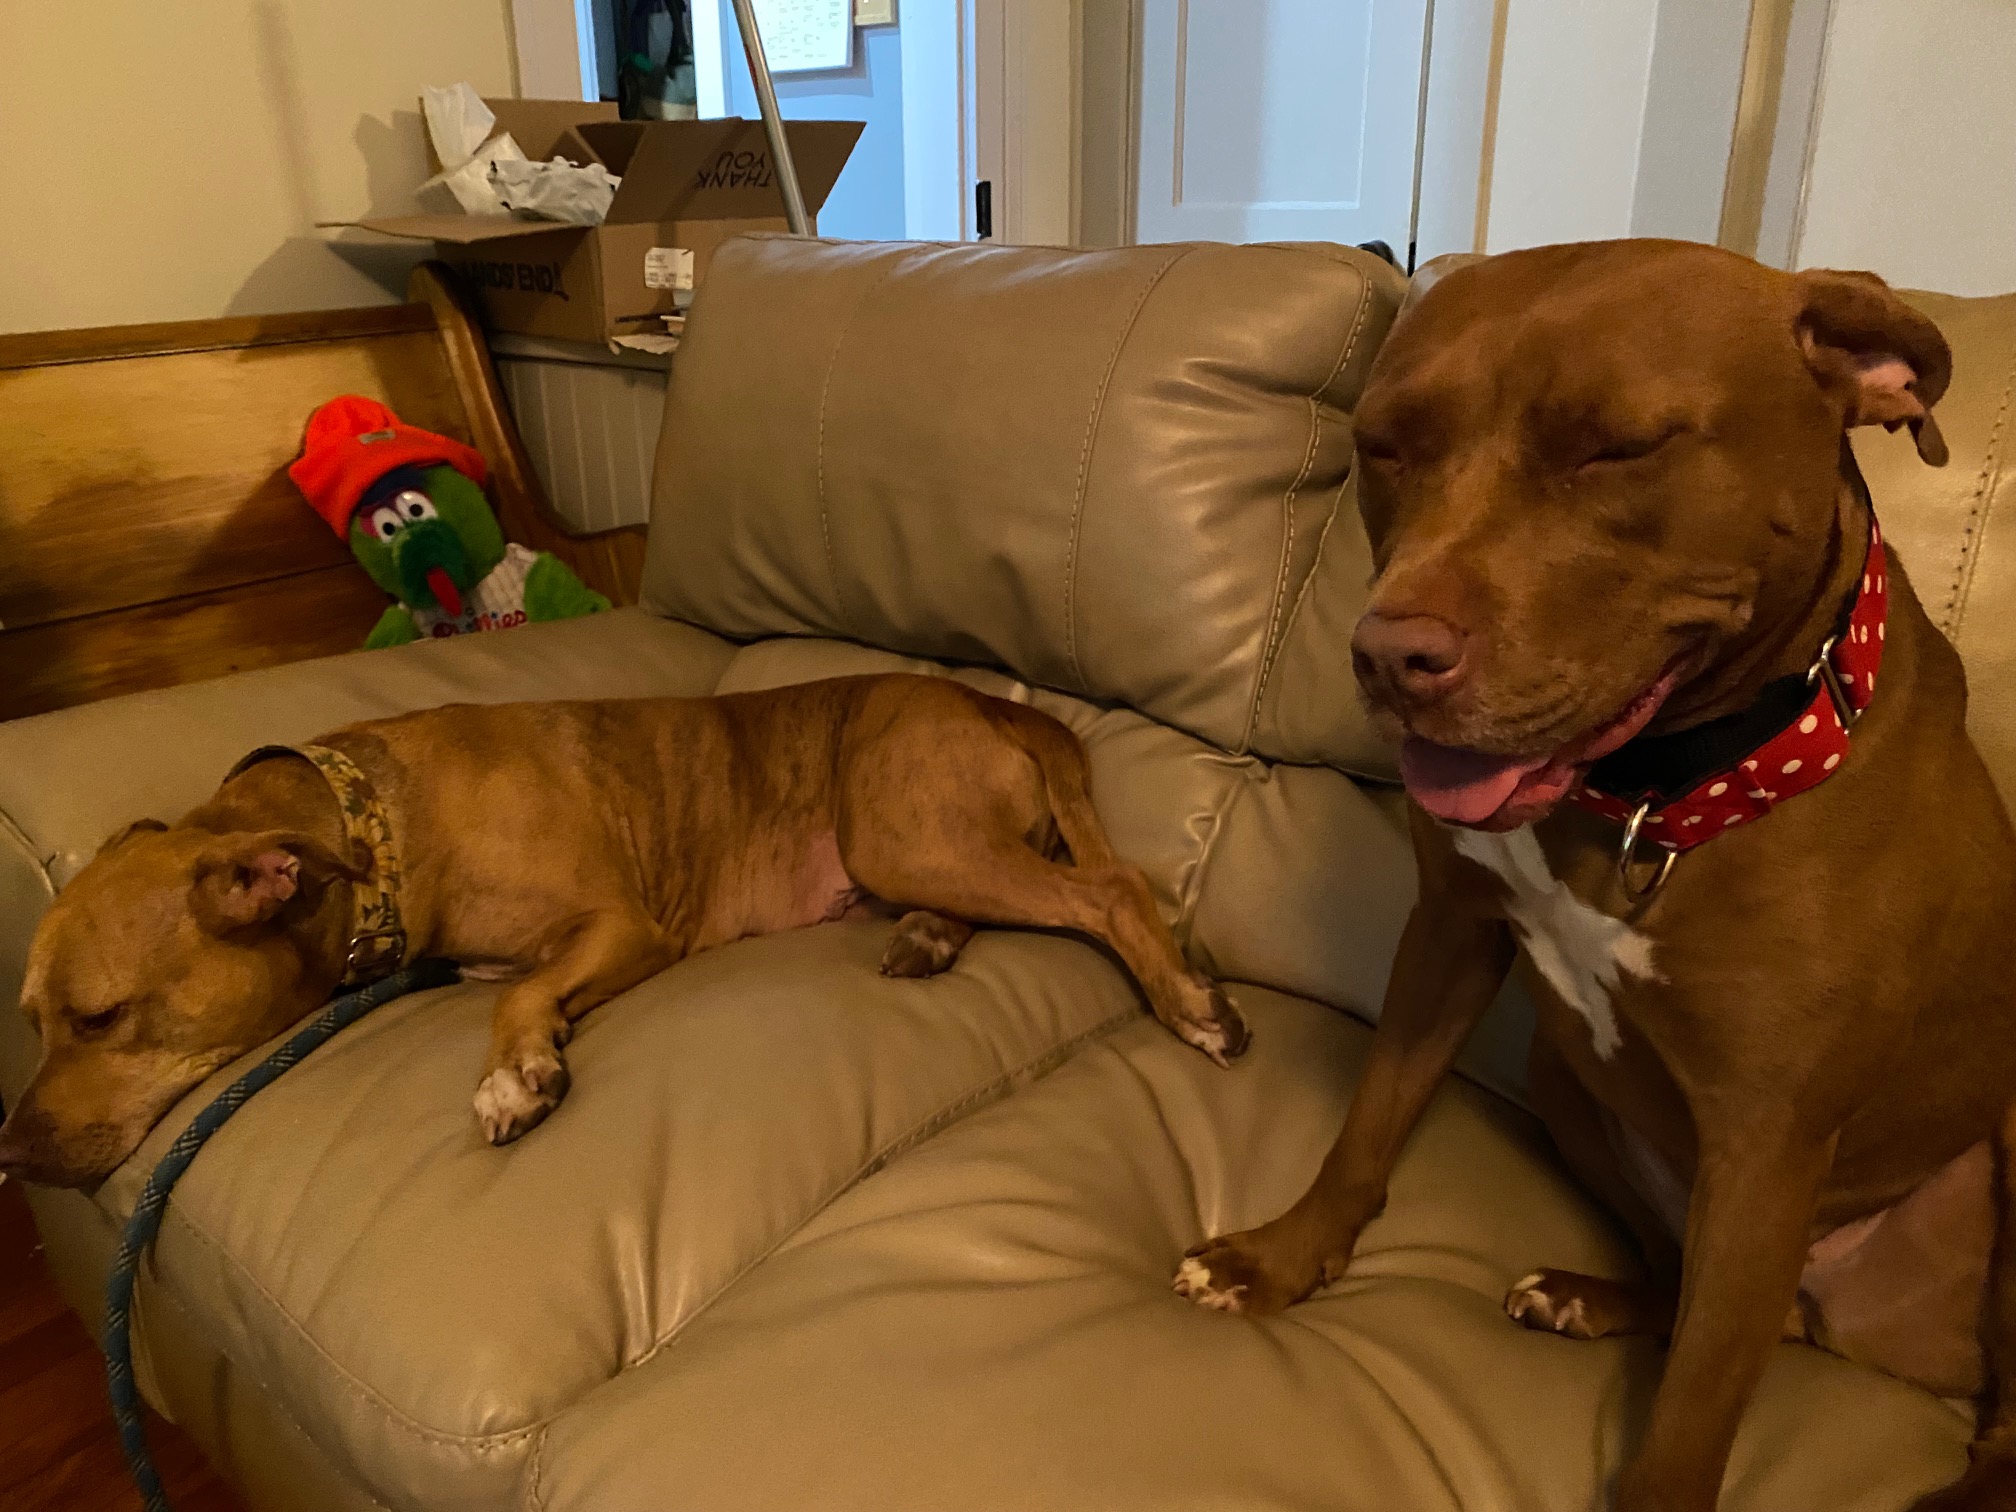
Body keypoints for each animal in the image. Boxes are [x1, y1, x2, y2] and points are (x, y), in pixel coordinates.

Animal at [0, 674, 1248, 1189]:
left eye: (100, 1017)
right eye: (32, 1020)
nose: (8, 1155)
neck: (371, 830)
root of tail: (999, 704)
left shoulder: (620, 926)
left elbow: (518, 992)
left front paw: (516, 1076)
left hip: (901, 827)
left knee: (1112, 892)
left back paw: (1191, 1008)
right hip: (923, 845)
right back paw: (931, 939)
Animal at [1173, 240, 2016, 1511]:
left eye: (1617, 448)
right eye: (1385, 445)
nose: (1386, 655)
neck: (1656, 796)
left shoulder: (1768, 1144)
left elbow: (1692, 1424)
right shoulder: (1451, 931)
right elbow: (1371, 1121)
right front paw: (1281, 1257)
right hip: (1570, 1083)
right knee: (1700, 1291)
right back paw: (1590, 1296)